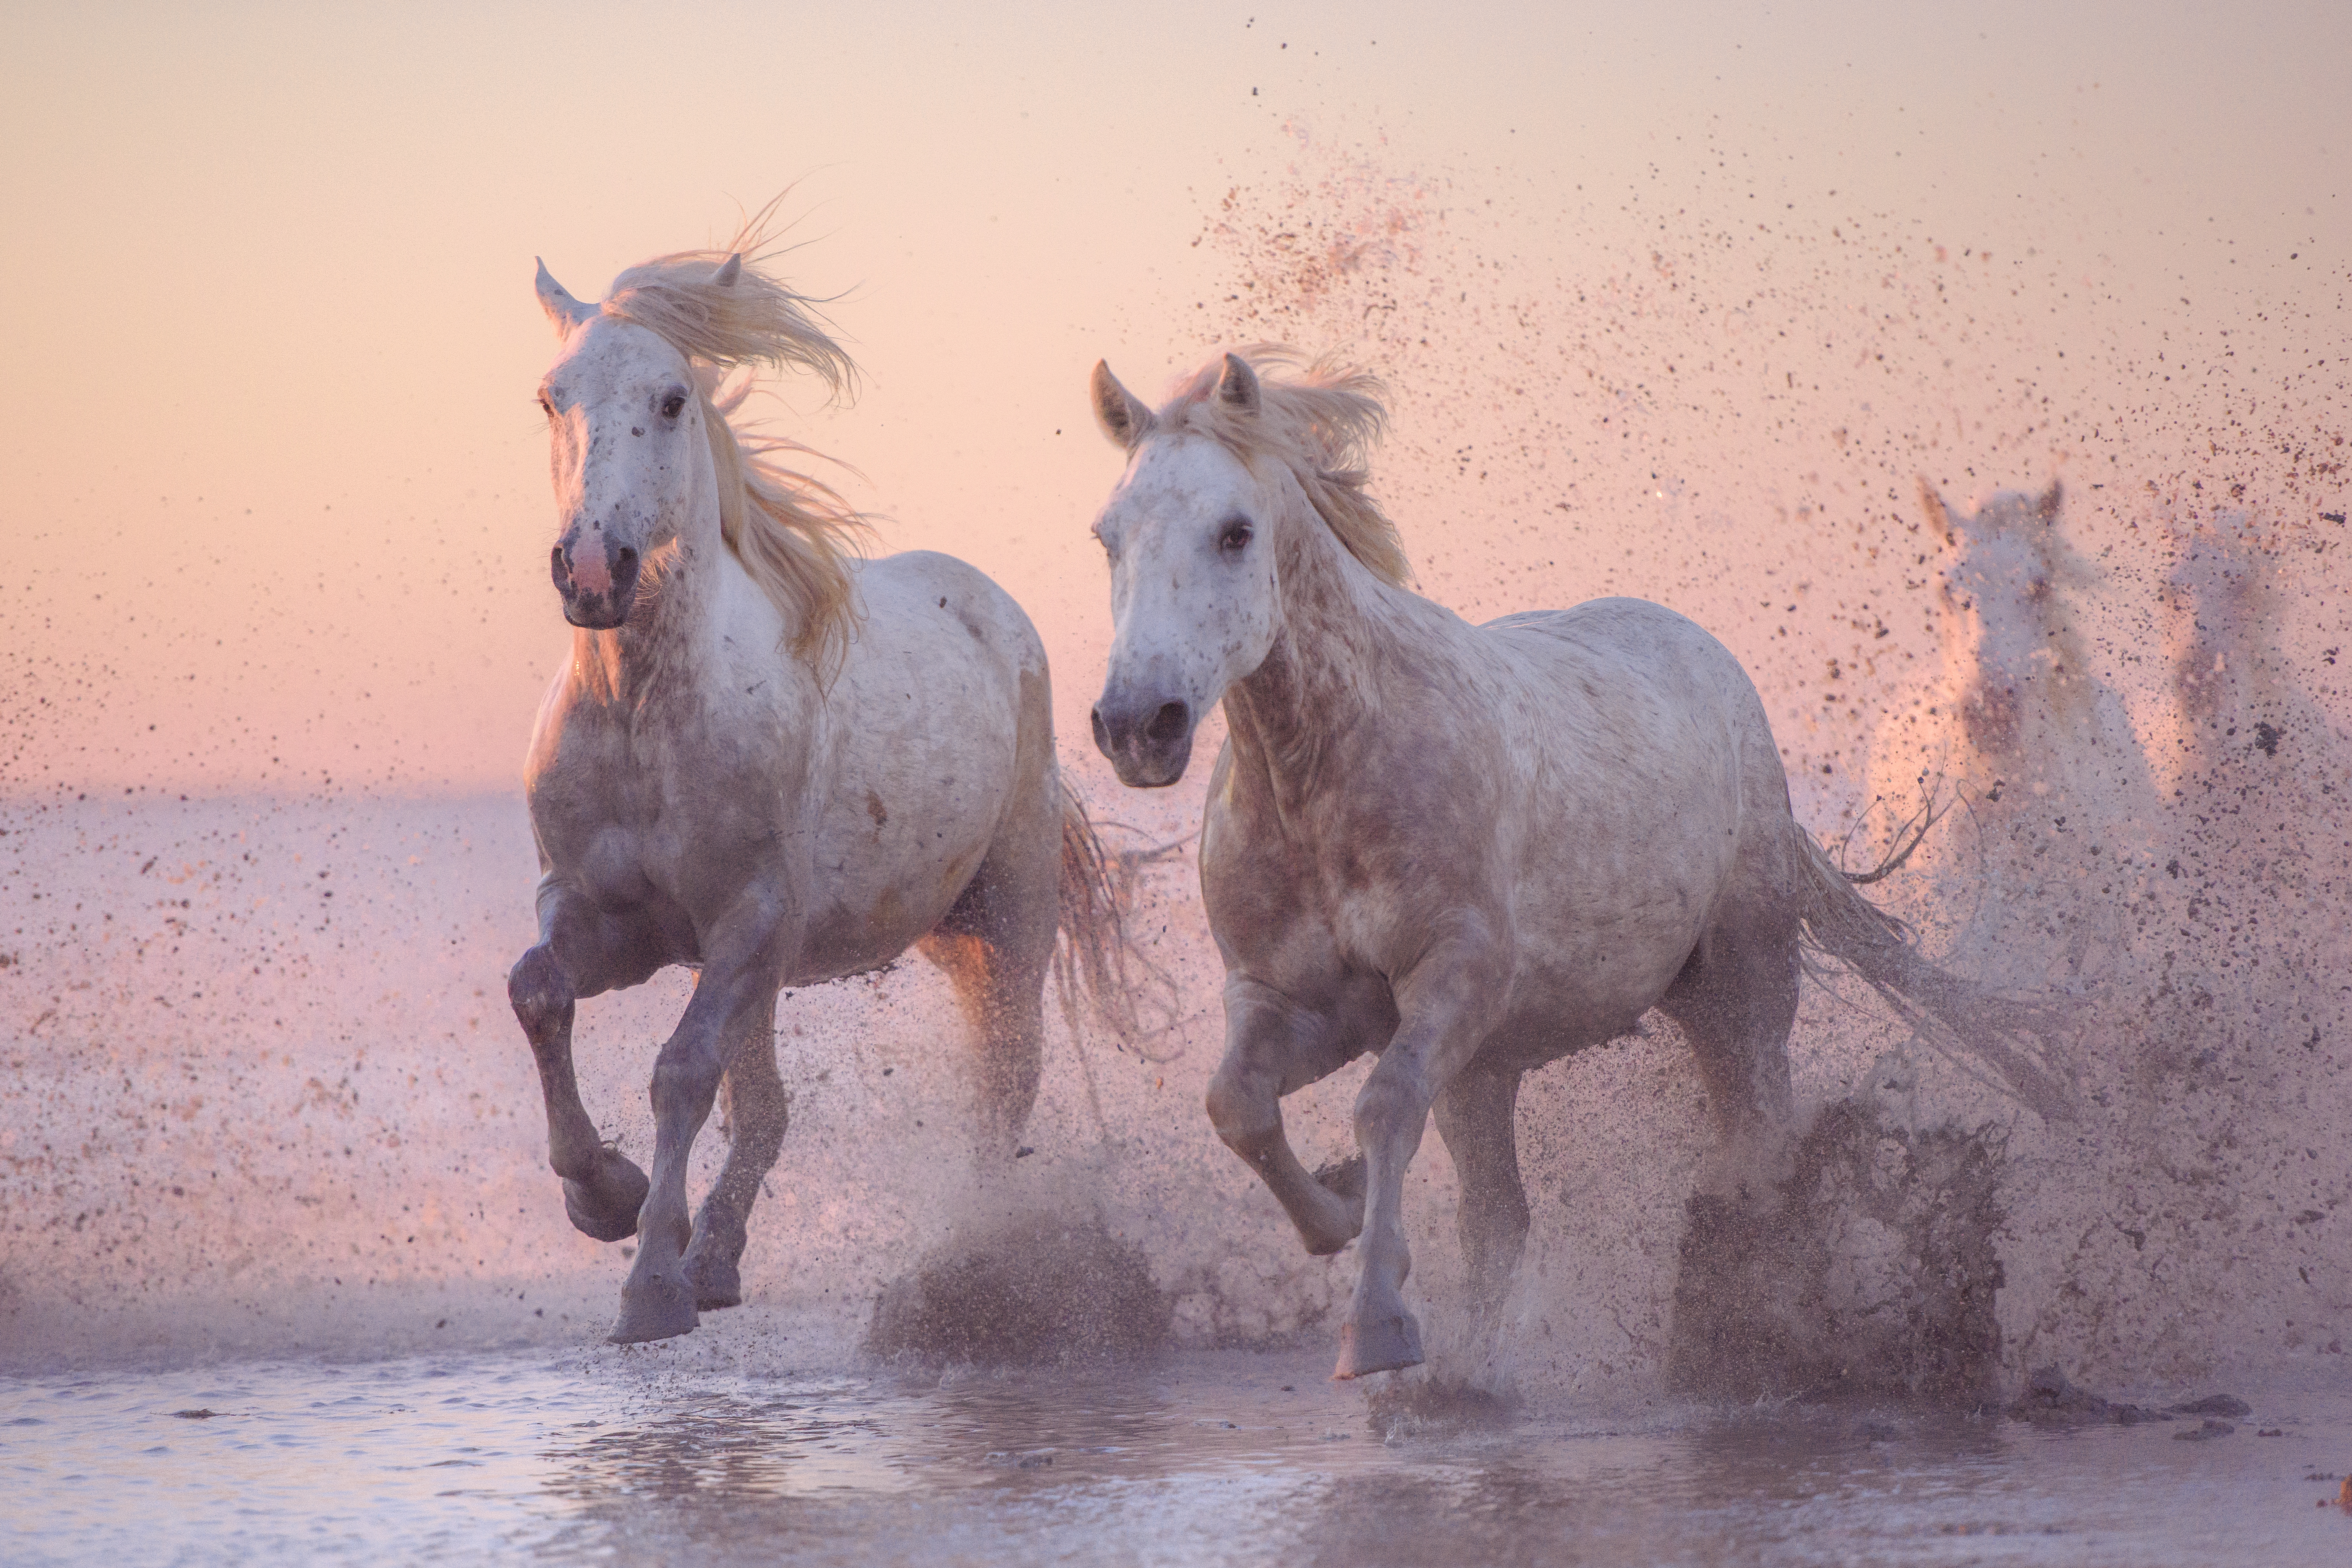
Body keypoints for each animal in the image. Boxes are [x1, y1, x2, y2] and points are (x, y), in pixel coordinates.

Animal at [517, 223, 1138, 1354]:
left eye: (671, 398)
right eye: (552, 397)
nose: (591, 568)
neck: (643, 717)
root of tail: (993, 607)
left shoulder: (748, 918)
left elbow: (681, 1072)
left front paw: (649, 1286)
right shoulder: (606, 919)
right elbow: (539, 995)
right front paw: (605, 1198)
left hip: (1008, 918)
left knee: (1004, 1086)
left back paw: (975, 1265)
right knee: (769, 1108)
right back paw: (718, 1256)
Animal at [1077, 350, 2060, 1382]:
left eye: (1235, 532)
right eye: (1109, 536)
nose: (1138, 724)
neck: (1328, 781)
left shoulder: (1456, 977)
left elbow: (1383, 1107)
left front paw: (1376, 1327)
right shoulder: (1293, 1000)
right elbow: (1236, 1105)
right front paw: (1337, 1215)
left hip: (1742, 987)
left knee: (1756, 1149)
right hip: (1501, 1067)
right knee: (1501, 1220)